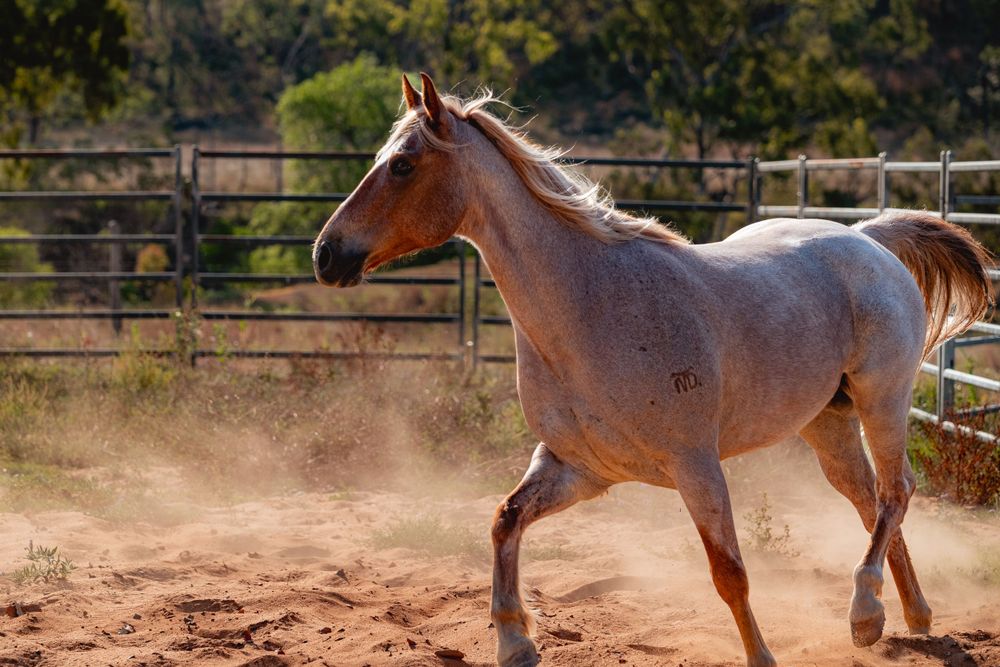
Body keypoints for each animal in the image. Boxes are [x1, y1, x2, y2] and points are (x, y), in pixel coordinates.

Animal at [312, 73, 993, 667]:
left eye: (403, 164)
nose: (325, 254)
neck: (593, 306)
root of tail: (869, 239)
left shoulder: (695, 464)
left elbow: (729, 572)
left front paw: (762, 656)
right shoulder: (579, 468)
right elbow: (504, 521)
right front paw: (515, 644)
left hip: (883, 398)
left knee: (896, 490)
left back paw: (864, 613)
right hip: (826, 423)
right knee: (870, 499)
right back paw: (910, 616)